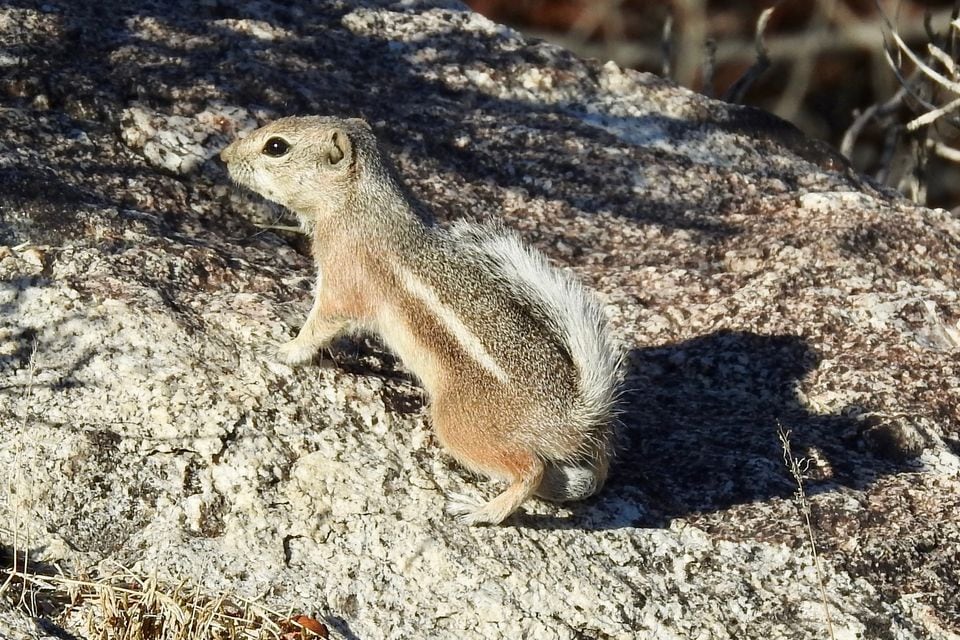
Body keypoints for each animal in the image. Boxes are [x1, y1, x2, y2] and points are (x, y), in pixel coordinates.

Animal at [220, 116, 622, 525]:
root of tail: (575, 415)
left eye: (276, 147)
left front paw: (285, 350)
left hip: (458, 425)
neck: (356, 204)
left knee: (530, 470)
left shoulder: (341, 284)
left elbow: (320, 324)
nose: (223, 155)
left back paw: (480, 511)